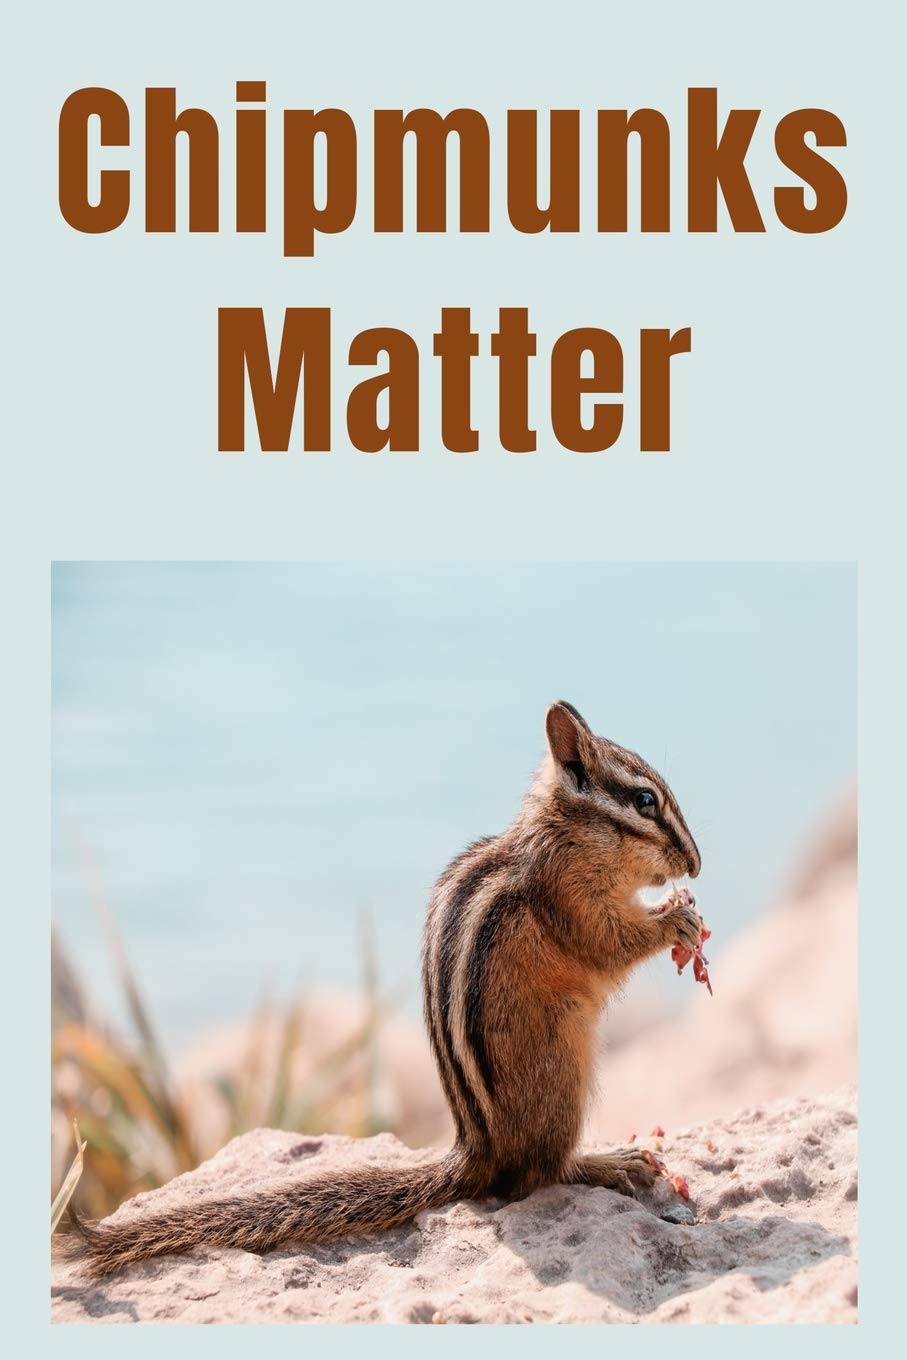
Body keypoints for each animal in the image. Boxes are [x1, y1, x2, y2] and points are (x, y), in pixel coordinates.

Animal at [64, 700, 702, 1275]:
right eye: (645, 801)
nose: (695, 864)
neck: (566, 834)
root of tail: (477, 1149)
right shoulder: (568, 900)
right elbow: (607, 944)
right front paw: (676, 920)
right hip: (564, 1071)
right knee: (537, 1174)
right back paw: (609, 1163)